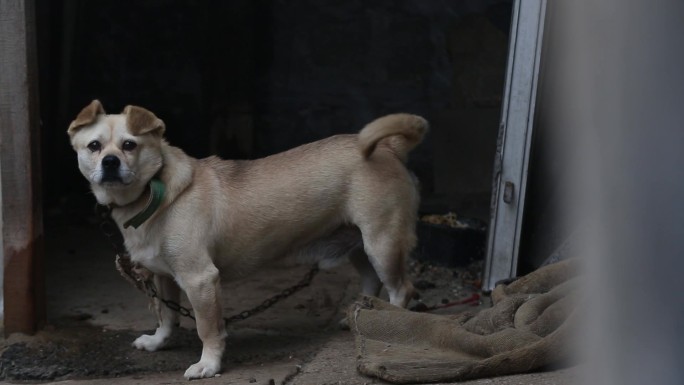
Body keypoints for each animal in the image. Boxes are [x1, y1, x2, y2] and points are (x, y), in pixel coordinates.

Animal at [65, 100, 428, 378]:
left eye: (130, 145)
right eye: (94, 147)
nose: (110, 162)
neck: (151, 194)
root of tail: (388, 147)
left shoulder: (200, 280)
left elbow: (207, 328)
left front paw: (208, 365)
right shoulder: (164, 277)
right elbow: (166, 315)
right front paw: (159, 341)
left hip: (382, 244)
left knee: (401, 289)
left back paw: (390, 323)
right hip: (360, 246)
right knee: (371, 282)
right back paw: (363, 318)